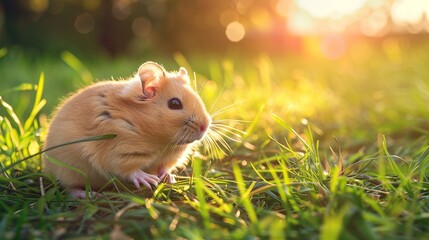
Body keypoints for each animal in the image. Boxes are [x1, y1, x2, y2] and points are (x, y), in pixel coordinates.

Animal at [43, 61, 211, 196]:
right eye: (174, 104)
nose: (205, 126)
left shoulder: (168, 158)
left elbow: (165, 167)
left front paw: (169, 178)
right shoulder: (116, 152)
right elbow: (129, 170)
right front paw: (149, 180)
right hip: (67, 171)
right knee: (68, 187)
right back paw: (88, 195)